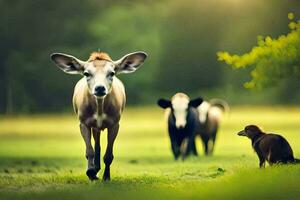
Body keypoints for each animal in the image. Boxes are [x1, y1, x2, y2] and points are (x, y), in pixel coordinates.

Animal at [50, 50, 146, 180]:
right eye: (86, 73)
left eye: (112, 73)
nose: (100, 88)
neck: (99, 109)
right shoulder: (83, 122)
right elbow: (89, 150)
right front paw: (91, 172)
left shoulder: (115, 122)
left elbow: (109, 155)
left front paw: (106, 177)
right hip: (93, 125)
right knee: (96, 145)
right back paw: (95, 169)